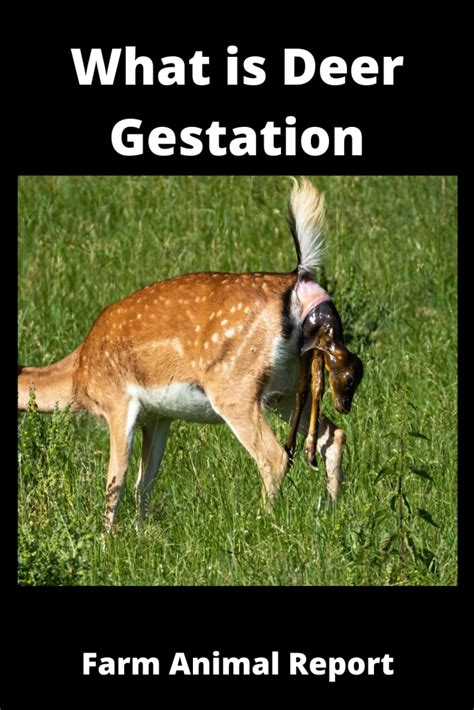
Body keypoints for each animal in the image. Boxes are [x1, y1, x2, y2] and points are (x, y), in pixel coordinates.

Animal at [18, 178, 363, 531]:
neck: (78, 376)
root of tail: (299, 280)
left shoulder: (117, 402)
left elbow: (116, 481)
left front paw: (106, 539)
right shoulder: (158, 416)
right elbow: (145, 483)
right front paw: (142, 533)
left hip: (235, 385)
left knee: (275, 456)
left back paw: (261, 523)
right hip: (287, 389)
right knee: (334, 435)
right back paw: (333, 512)